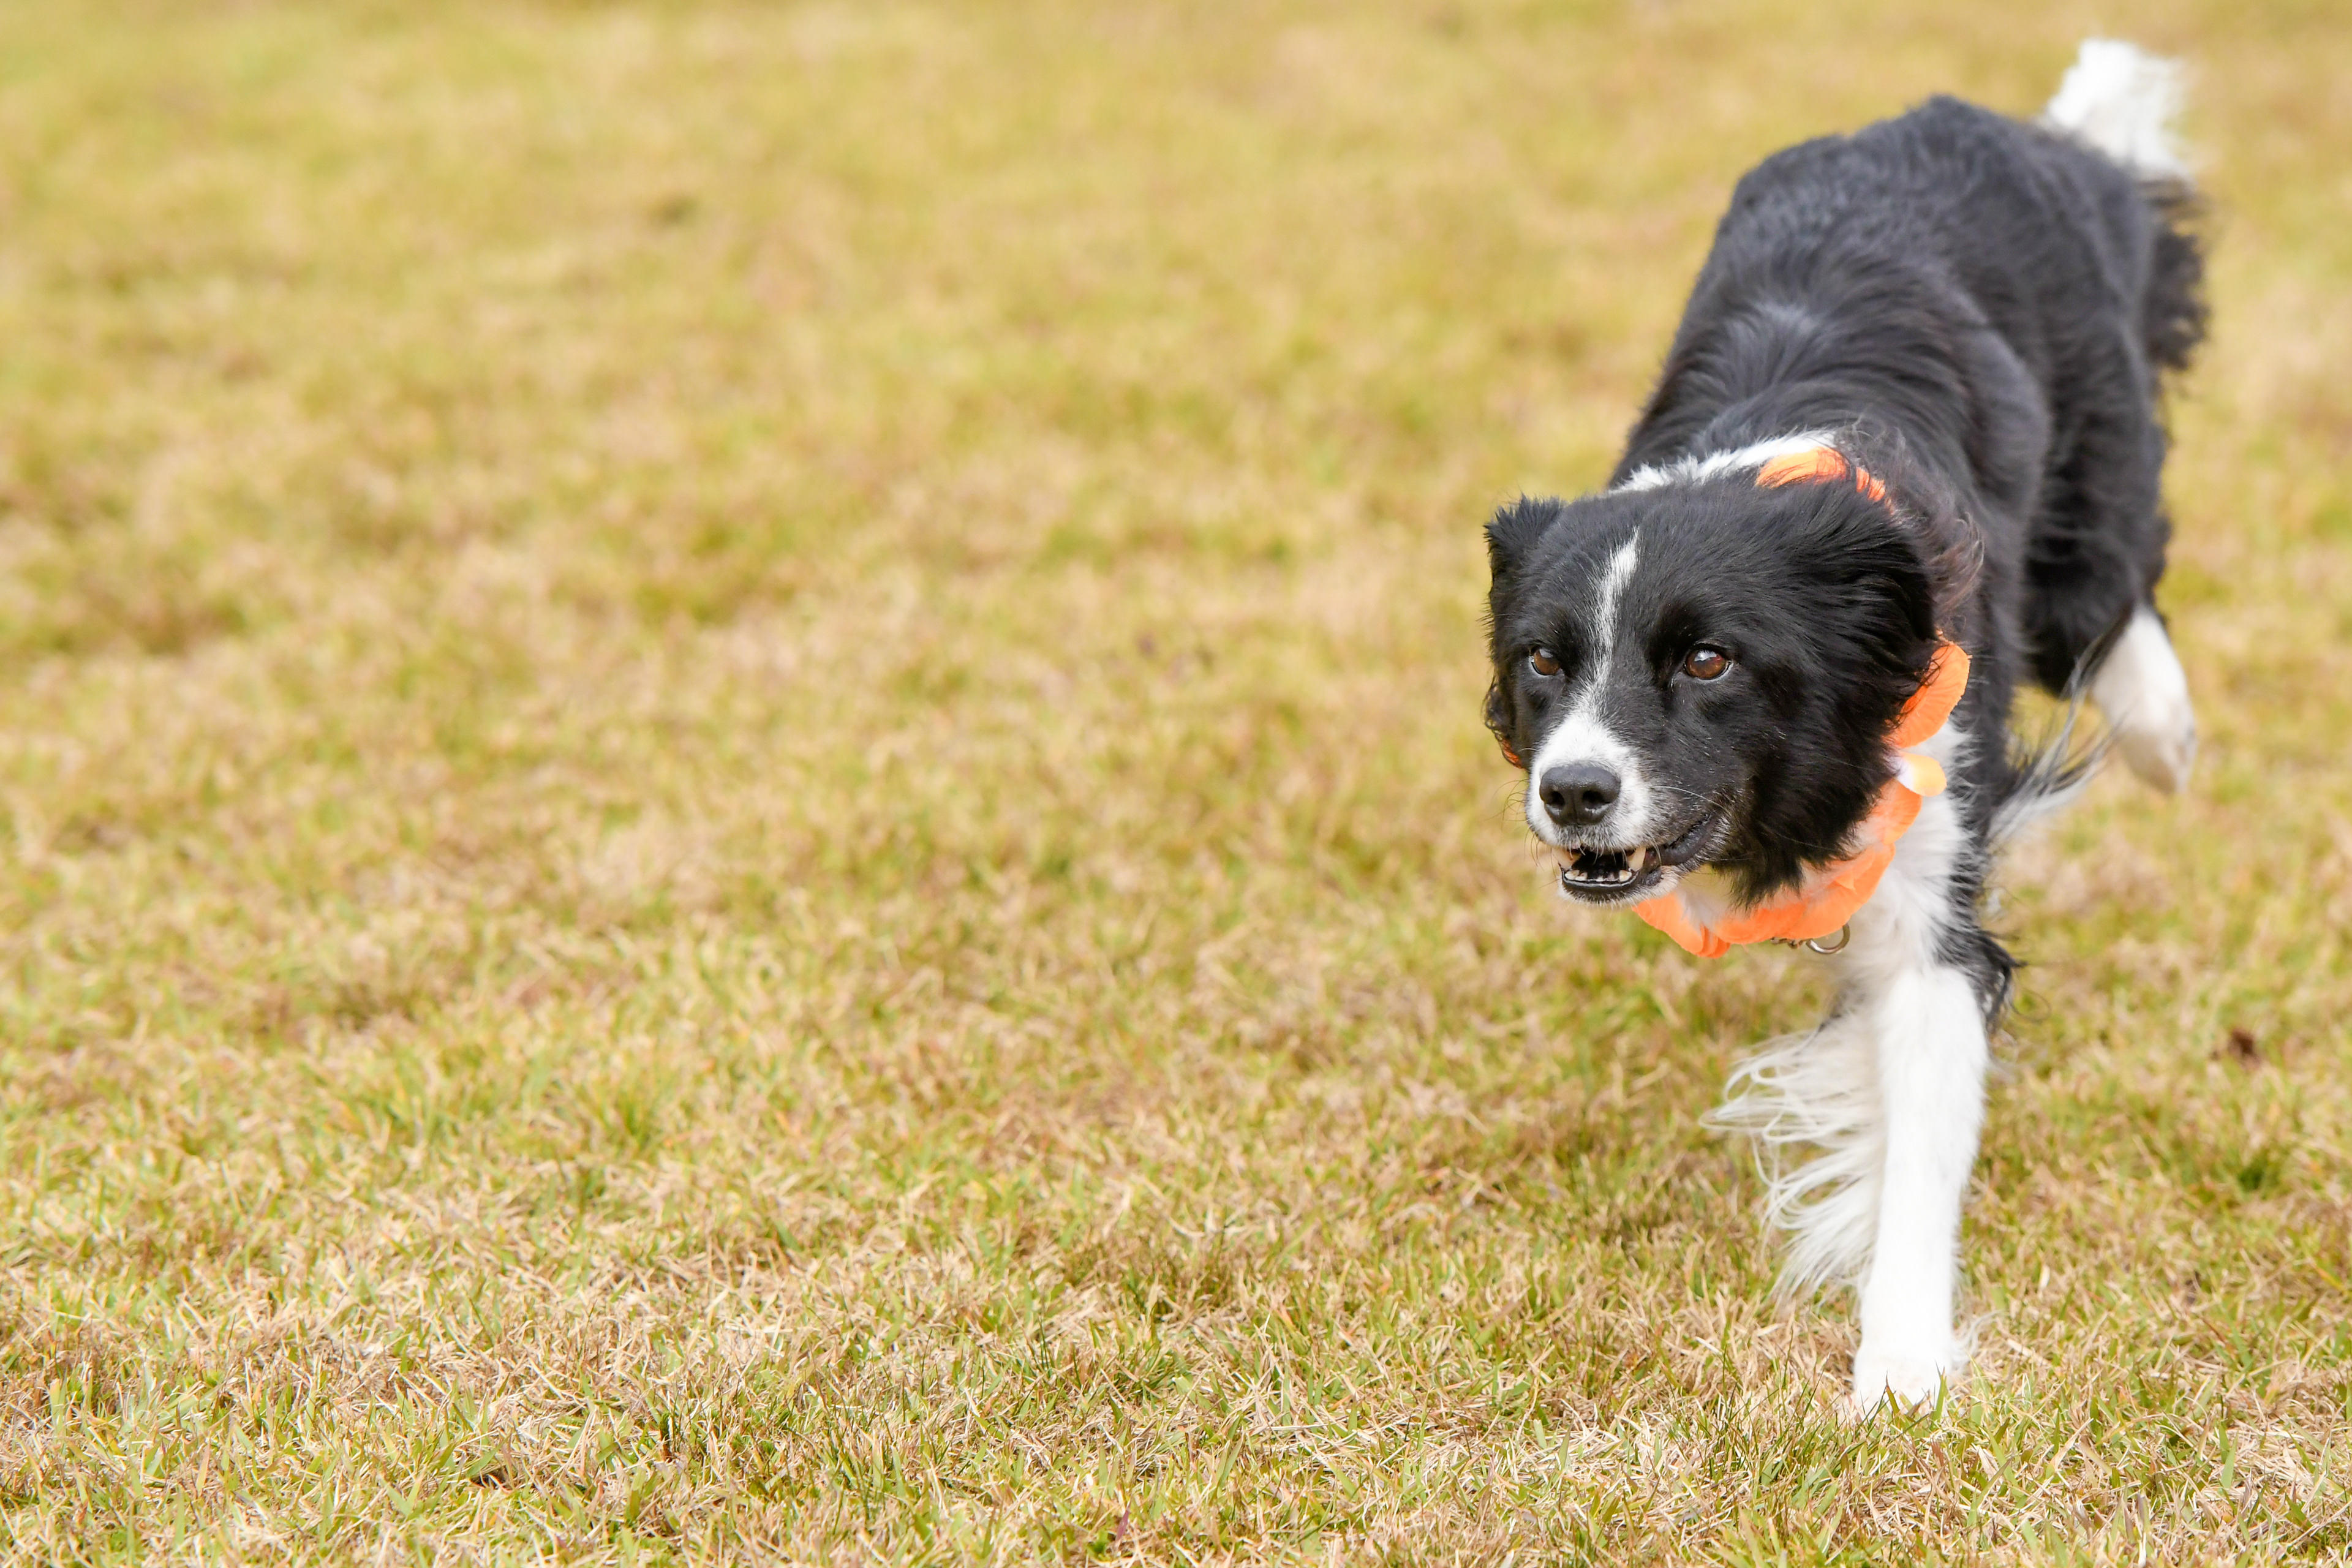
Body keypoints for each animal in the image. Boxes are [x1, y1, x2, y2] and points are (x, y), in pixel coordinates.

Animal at [1480, 41, 2205, 1409]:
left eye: (1709, 660)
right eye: (1543, 660)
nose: (1574, 792)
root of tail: (2014, 134)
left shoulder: (1935, 848)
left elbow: (1922, 1122)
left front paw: (1902, 1366)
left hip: (2095, 482)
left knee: (2115, 585)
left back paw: (2161, 727)